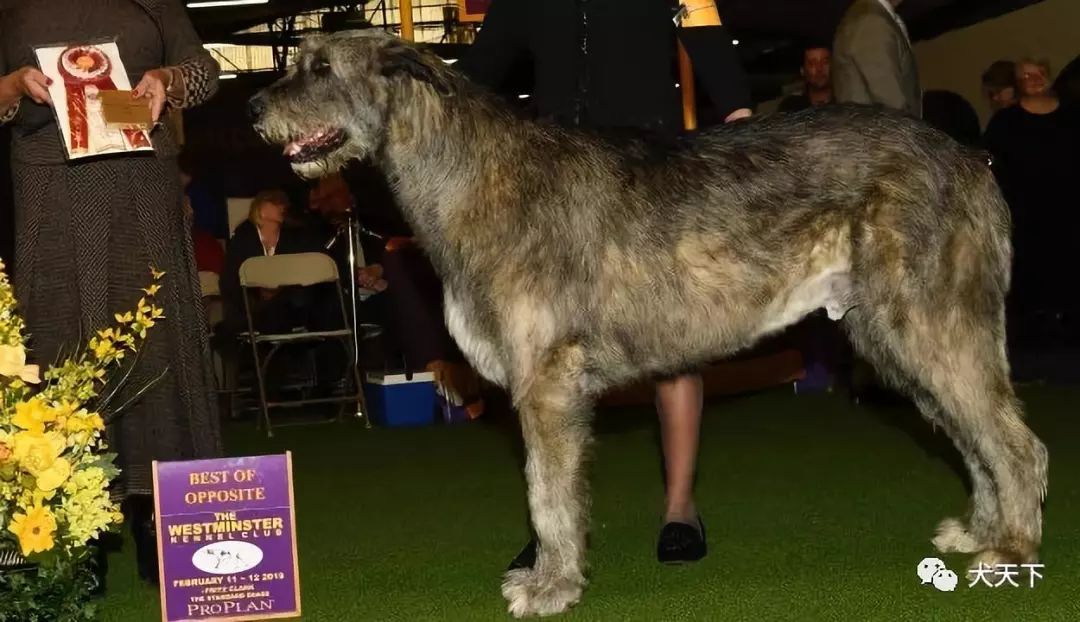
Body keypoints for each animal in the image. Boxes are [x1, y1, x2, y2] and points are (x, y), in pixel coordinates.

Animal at [250, 30, 1045, 617]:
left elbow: (547, 494)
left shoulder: (548, 384)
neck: (470, 172)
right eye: (297, 59)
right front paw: (551, 576)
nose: (254, 106)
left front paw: (552, 586)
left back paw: (1013, 549)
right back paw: (981, 531)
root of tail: (971, 159)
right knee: (972, 435)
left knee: (1015, 442)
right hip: (896, 338)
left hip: (932, 323)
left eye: (321, 66)